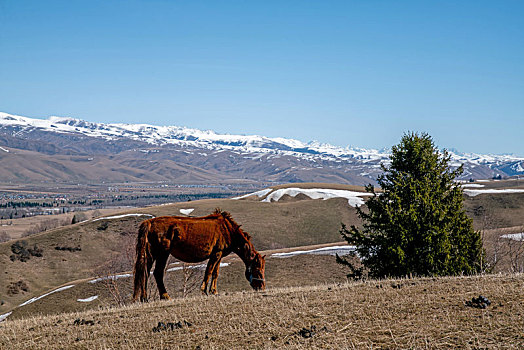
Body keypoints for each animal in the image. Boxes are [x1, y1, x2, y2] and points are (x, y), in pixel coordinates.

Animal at [133, 208, 264, 300]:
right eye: (258, 269)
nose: (261, 287)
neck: (228, 230)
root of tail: (149, 222)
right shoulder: (216, 254)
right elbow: (209, 271)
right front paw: (204, 291)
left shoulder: (219, 255)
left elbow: (215, 273)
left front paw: (213, 291)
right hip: (162, 254)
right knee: (157, 273)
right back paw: (165, 296)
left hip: (151, 254)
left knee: (145, 272)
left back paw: (144, 298)